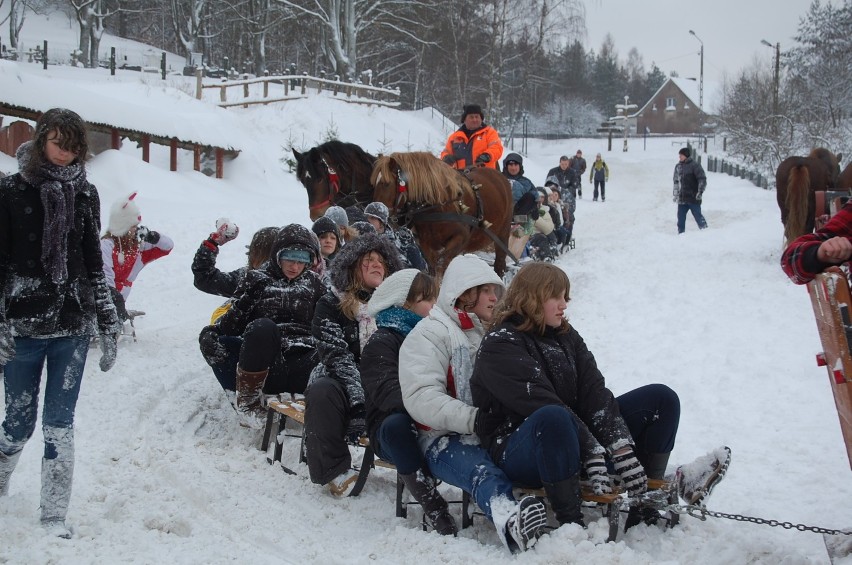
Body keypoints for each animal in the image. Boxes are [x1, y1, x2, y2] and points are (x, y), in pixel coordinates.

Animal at [372, 151, 512, 276]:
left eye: (386, 184)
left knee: (499, 264)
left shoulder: (460, 239)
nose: (377, 211)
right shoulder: (426, 244)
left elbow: (441, 267)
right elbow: (433, 270)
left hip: (503, 235)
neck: (440, 205)